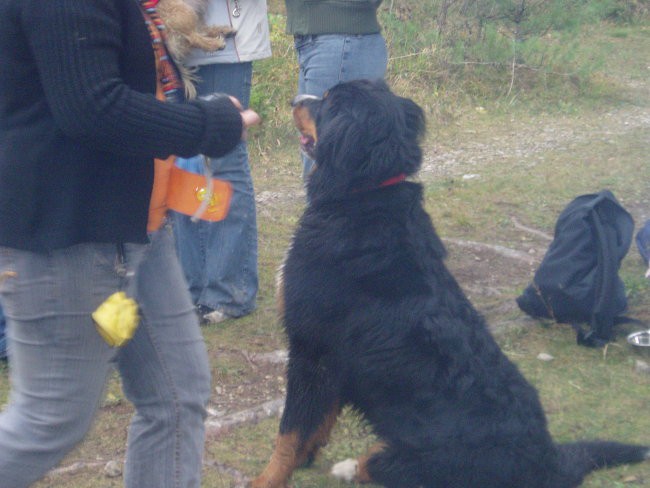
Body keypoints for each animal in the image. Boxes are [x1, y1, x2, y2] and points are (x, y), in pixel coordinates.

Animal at [249, 81, 648, 488]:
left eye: (328, 102)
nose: (297, 99)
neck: (364, 195)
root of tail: (549, 460)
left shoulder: (312, 350)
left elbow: (290, 432)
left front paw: (268, 478)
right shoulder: (332, 361)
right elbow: (318, 421)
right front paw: (306, 456)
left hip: (422, 458)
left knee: (376, 462)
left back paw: (349, 467)